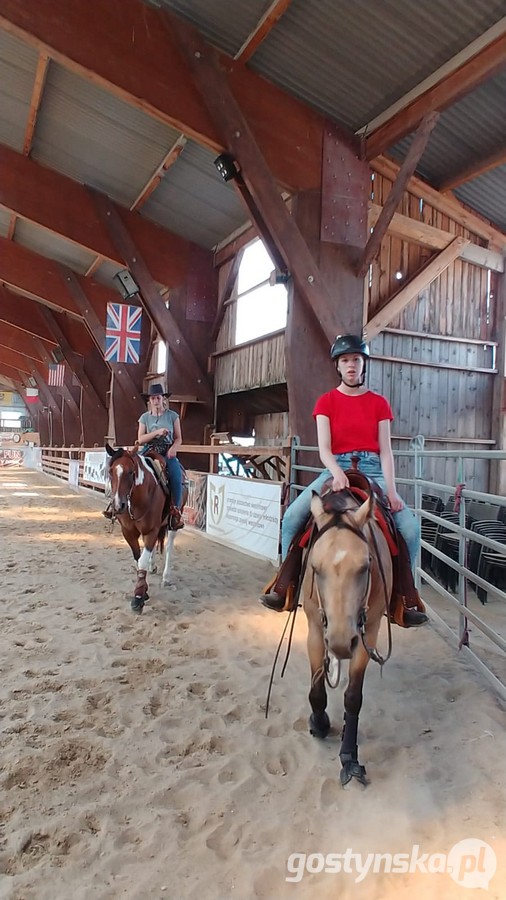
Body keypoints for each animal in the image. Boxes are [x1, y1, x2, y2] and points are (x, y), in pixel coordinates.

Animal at [106, 442, 188, 612]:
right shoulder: (128, 532)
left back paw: (166, 577)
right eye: (110, 472)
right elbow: (138, 559)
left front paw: (138, 597)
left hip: (174, 521)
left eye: (131, 472)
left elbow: (142, 561)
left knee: (169, 546)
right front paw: (144, 590)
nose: (118, 506)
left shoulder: (151, 530)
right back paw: (153, 566)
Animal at [300, 486, 396, 788]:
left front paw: (349, 758)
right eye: (315, 568)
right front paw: (319, 722)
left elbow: (353, 697)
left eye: (366, 566)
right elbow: (316, 687)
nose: (341, 642)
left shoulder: (368, 633)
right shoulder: (316, 629)